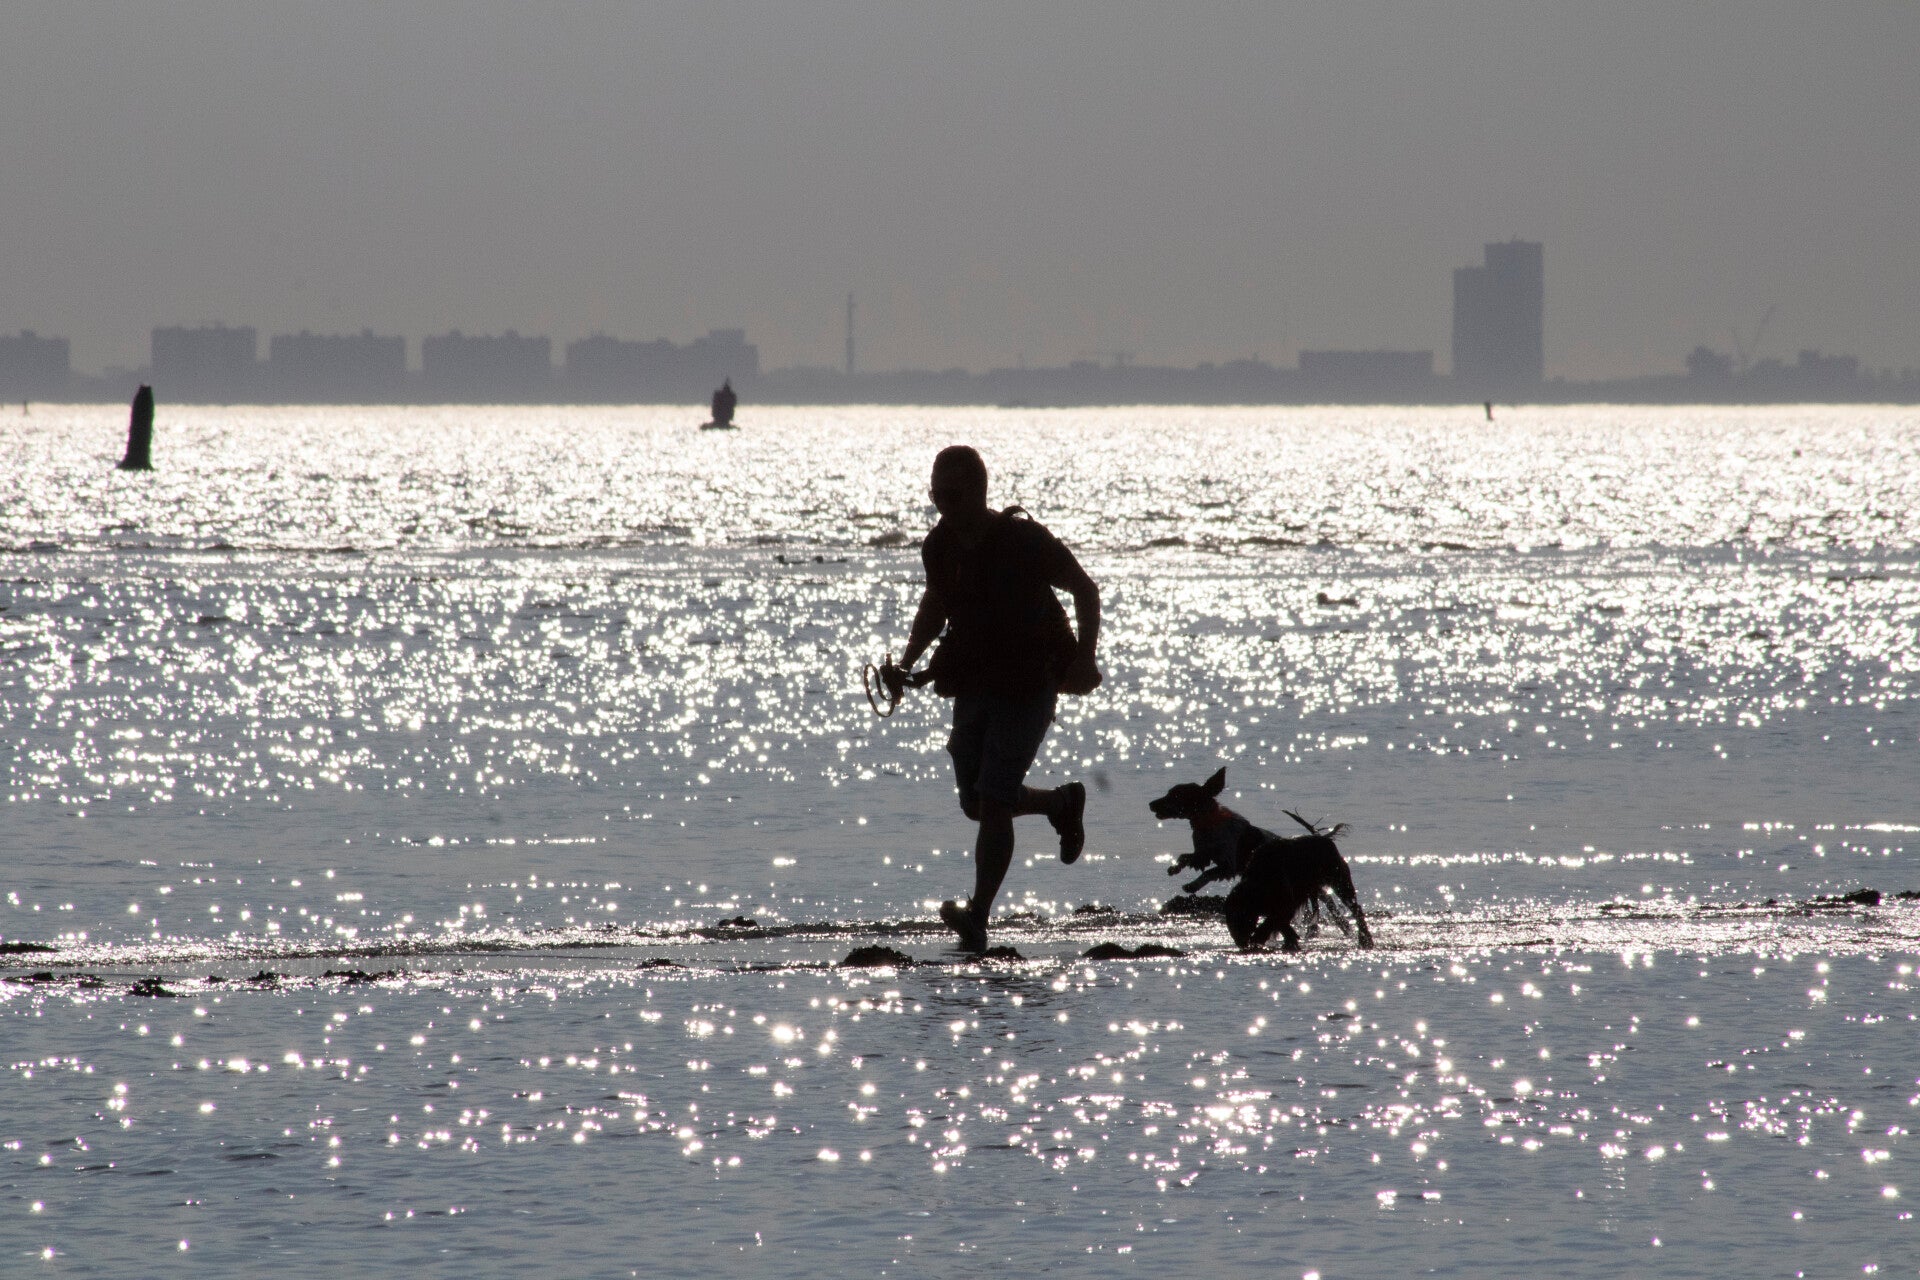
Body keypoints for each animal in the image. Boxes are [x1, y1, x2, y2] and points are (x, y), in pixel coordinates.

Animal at [1149, 767, 1371, 951]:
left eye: (1175, 795)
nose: (1151, 804)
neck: (1209, 822)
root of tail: (1322, 839)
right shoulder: (1204, 853)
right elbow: (1189, 857)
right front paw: (1175, 868)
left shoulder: (1228, 865)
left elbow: (1209, 873)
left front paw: (1192, 885)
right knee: (1325, 903)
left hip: (1335, 880)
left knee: (1339, 904)